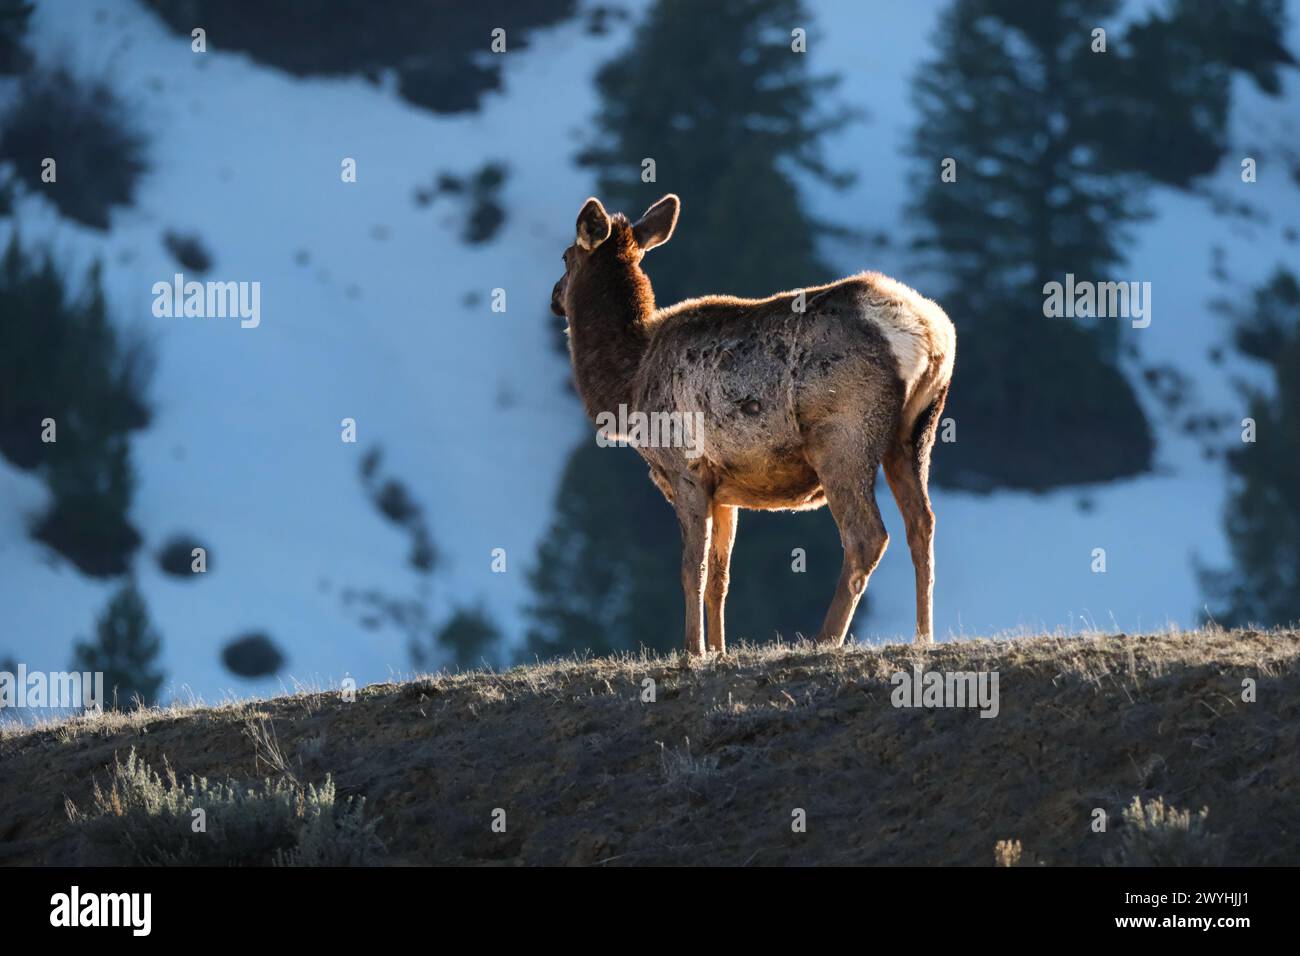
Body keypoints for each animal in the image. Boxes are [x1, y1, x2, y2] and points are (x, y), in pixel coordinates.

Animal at [550, 193, 955, 658]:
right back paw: (924, 635)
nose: (554, 297)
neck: (628, 383)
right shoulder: (725, 488)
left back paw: (824, 639)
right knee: (922, 524)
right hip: (917, 432)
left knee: (867, 535)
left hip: (844, 435)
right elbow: (720, 577)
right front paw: (720, 650)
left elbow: (692, 569)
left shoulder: (685, 468)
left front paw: (693, 650)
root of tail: (929, 333)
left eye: (566, 256)